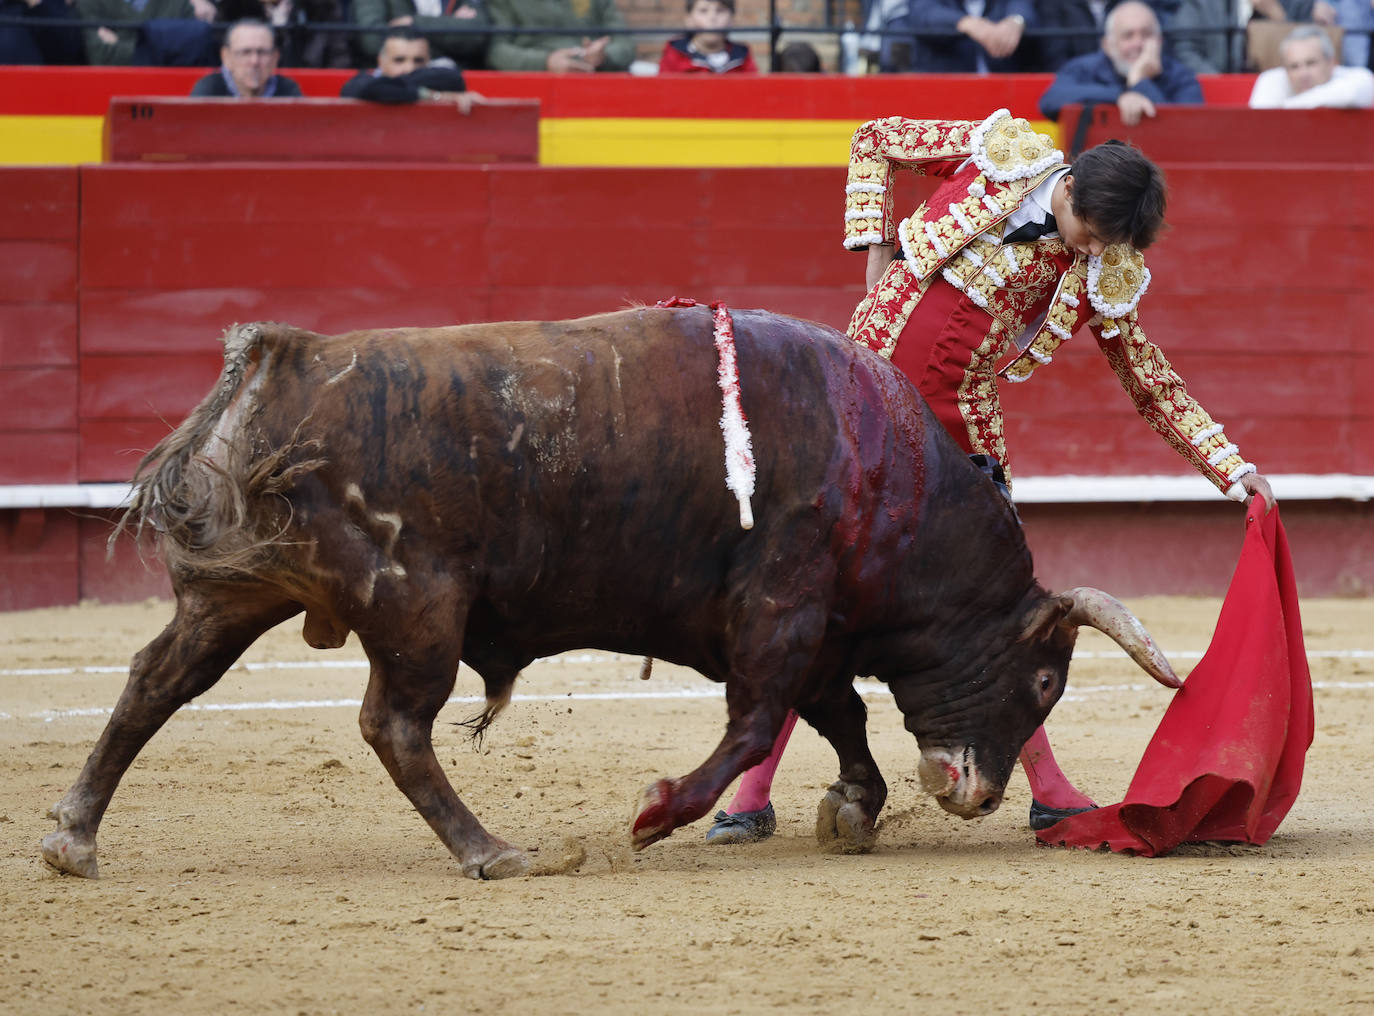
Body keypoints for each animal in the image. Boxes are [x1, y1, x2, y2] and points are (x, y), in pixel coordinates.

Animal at [40, 307, 1170, 879]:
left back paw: (72, 837)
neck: (886, 476)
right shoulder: (781, 606)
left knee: (154, 683)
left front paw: (853, 804)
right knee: (395, 725)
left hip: (238, 593)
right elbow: (759, 723)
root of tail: (281, 360)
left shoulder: (811, 623)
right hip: (417, 606)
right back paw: (493, 850)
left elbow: (835, 712)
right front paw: (660, 811)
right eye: (1045, 681)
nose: (978, 796)